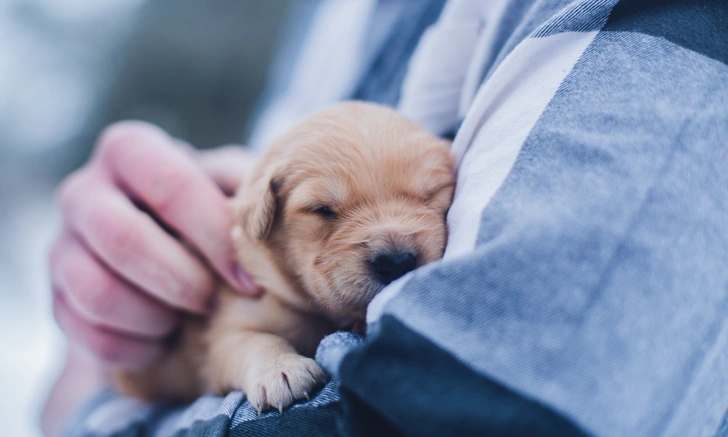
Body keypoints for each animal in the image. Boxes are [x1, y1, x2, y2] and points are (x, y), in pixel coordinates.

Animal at [112, 100, 456, 414]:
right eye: (322, 209)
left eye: (431, 193)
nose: (397, 262)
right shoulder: (228, 327)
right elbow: (253, 341)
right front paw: (280, 370)